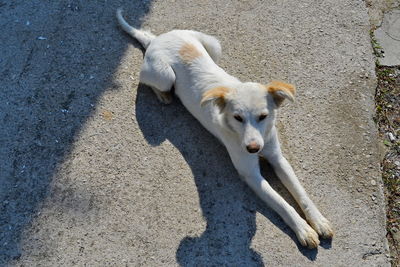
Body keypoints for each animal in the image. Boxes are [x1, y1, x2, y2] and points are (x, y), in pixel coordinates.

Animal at [116, 9, 334, 250]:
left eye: (263, 117)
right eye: (238, 118)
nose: (253, 148)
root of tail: (156, 39)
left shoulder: (278, 158)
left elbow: (301, 192)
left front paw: (318, 221)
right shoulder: (250, 173)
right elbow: (282, 203)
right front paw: (303, 229)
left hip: (213, 45)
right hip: (164, 76)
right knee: (148, 81)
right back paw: (163, 95)